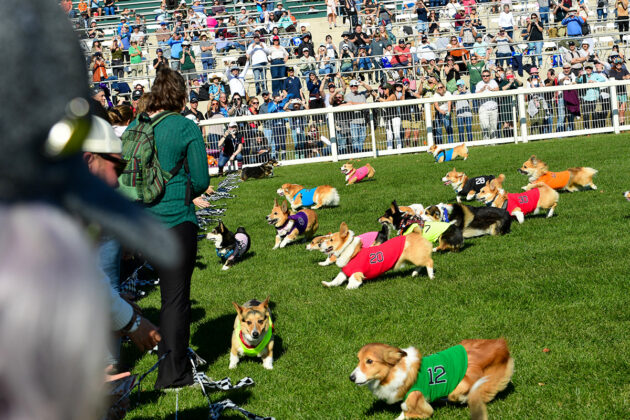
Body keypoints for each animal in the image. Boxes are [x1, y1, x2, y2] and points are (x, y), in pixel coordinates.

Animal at [354, 340, 516, 418]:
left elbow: (408, 411)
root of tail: (501, 345)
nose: (351, 377)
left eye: (369, 361)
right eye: (358, 360)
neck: (394, 370)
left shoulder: (416, 400)